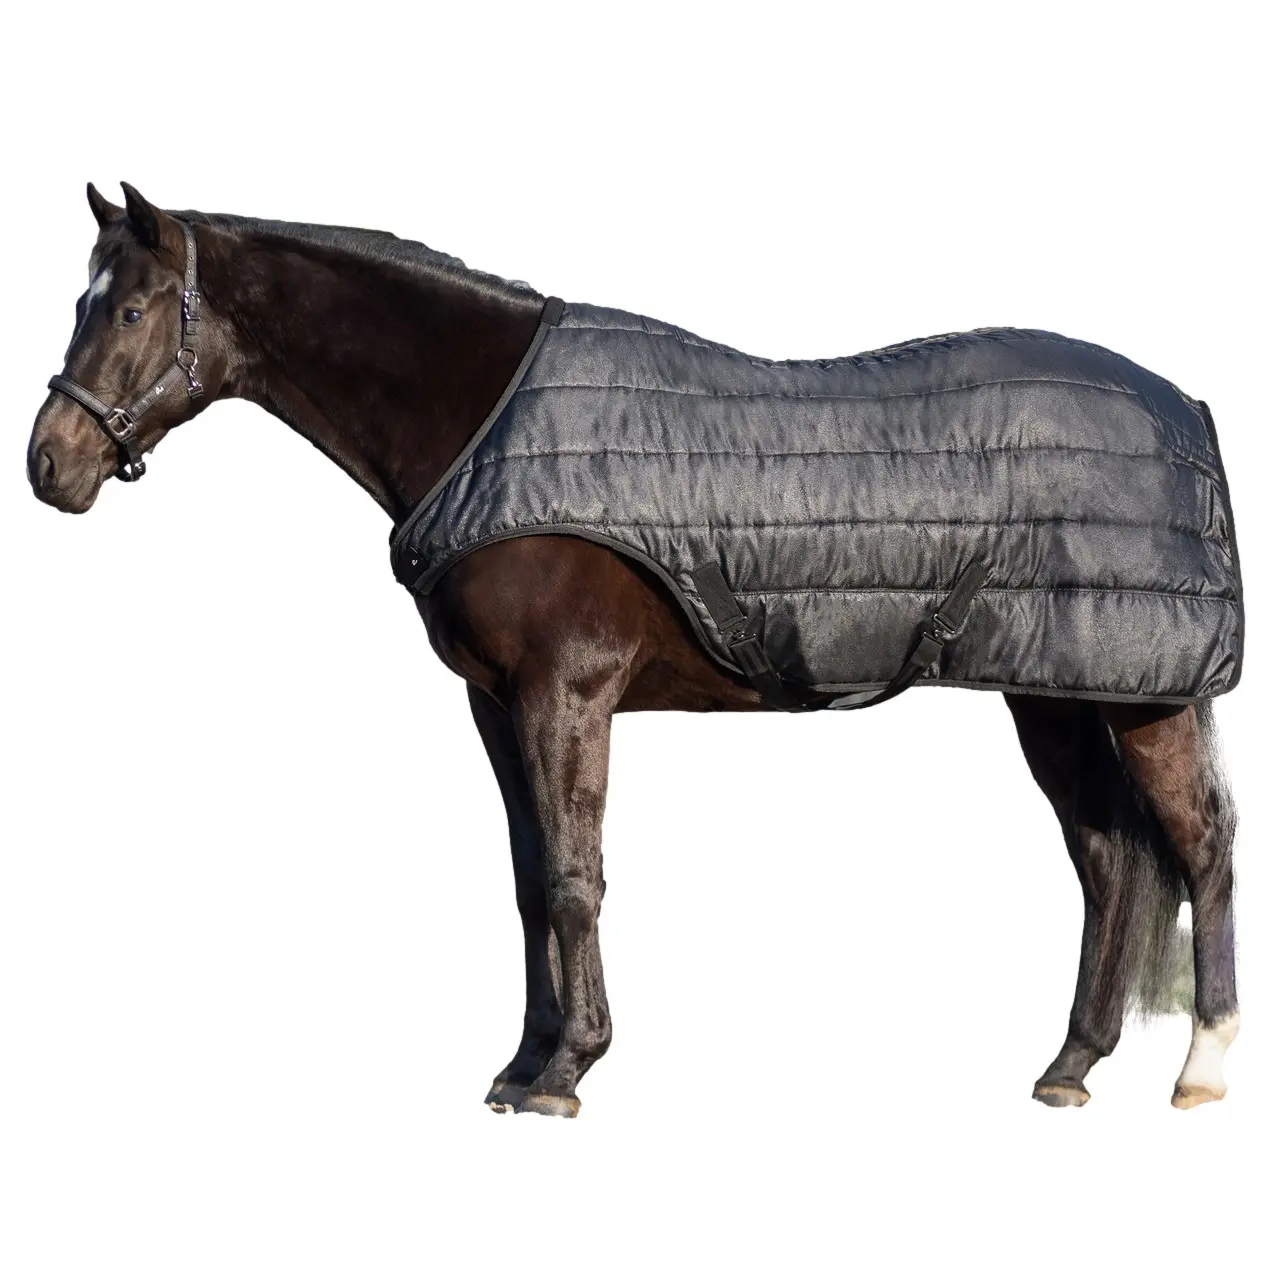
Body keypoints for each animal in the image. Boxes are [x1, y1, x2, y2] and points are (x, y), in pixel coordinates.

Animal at [26, 183, 1241, 1117]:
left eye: (127, 307)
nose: (49, 463)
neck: (486, 420)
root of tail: (1183, 403)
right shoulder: (496, 702)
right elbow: (528, 878)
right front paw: (520, 1062)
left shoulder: (566, 691)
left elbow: (574, 877)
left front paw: (567, 1071)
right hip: (1056, 690)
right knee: (1108, 858)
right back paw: (1069, 1066)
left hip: (1141, 694)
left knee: (1199, 845)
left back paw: (1201, 1067)